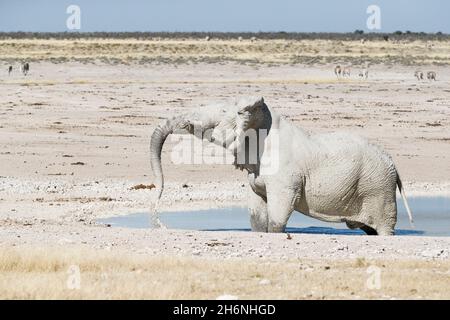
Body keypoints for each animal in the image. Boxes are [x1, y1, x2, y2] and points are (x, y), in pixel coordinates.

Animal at [149, 97, 414, 235]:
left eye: (224, 111)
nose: (159, 223)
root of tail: (395, 165)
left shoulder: (285, 175)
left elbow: (279, 213)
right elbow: (257, 212)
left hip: (378, 187)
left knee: (383, 228)